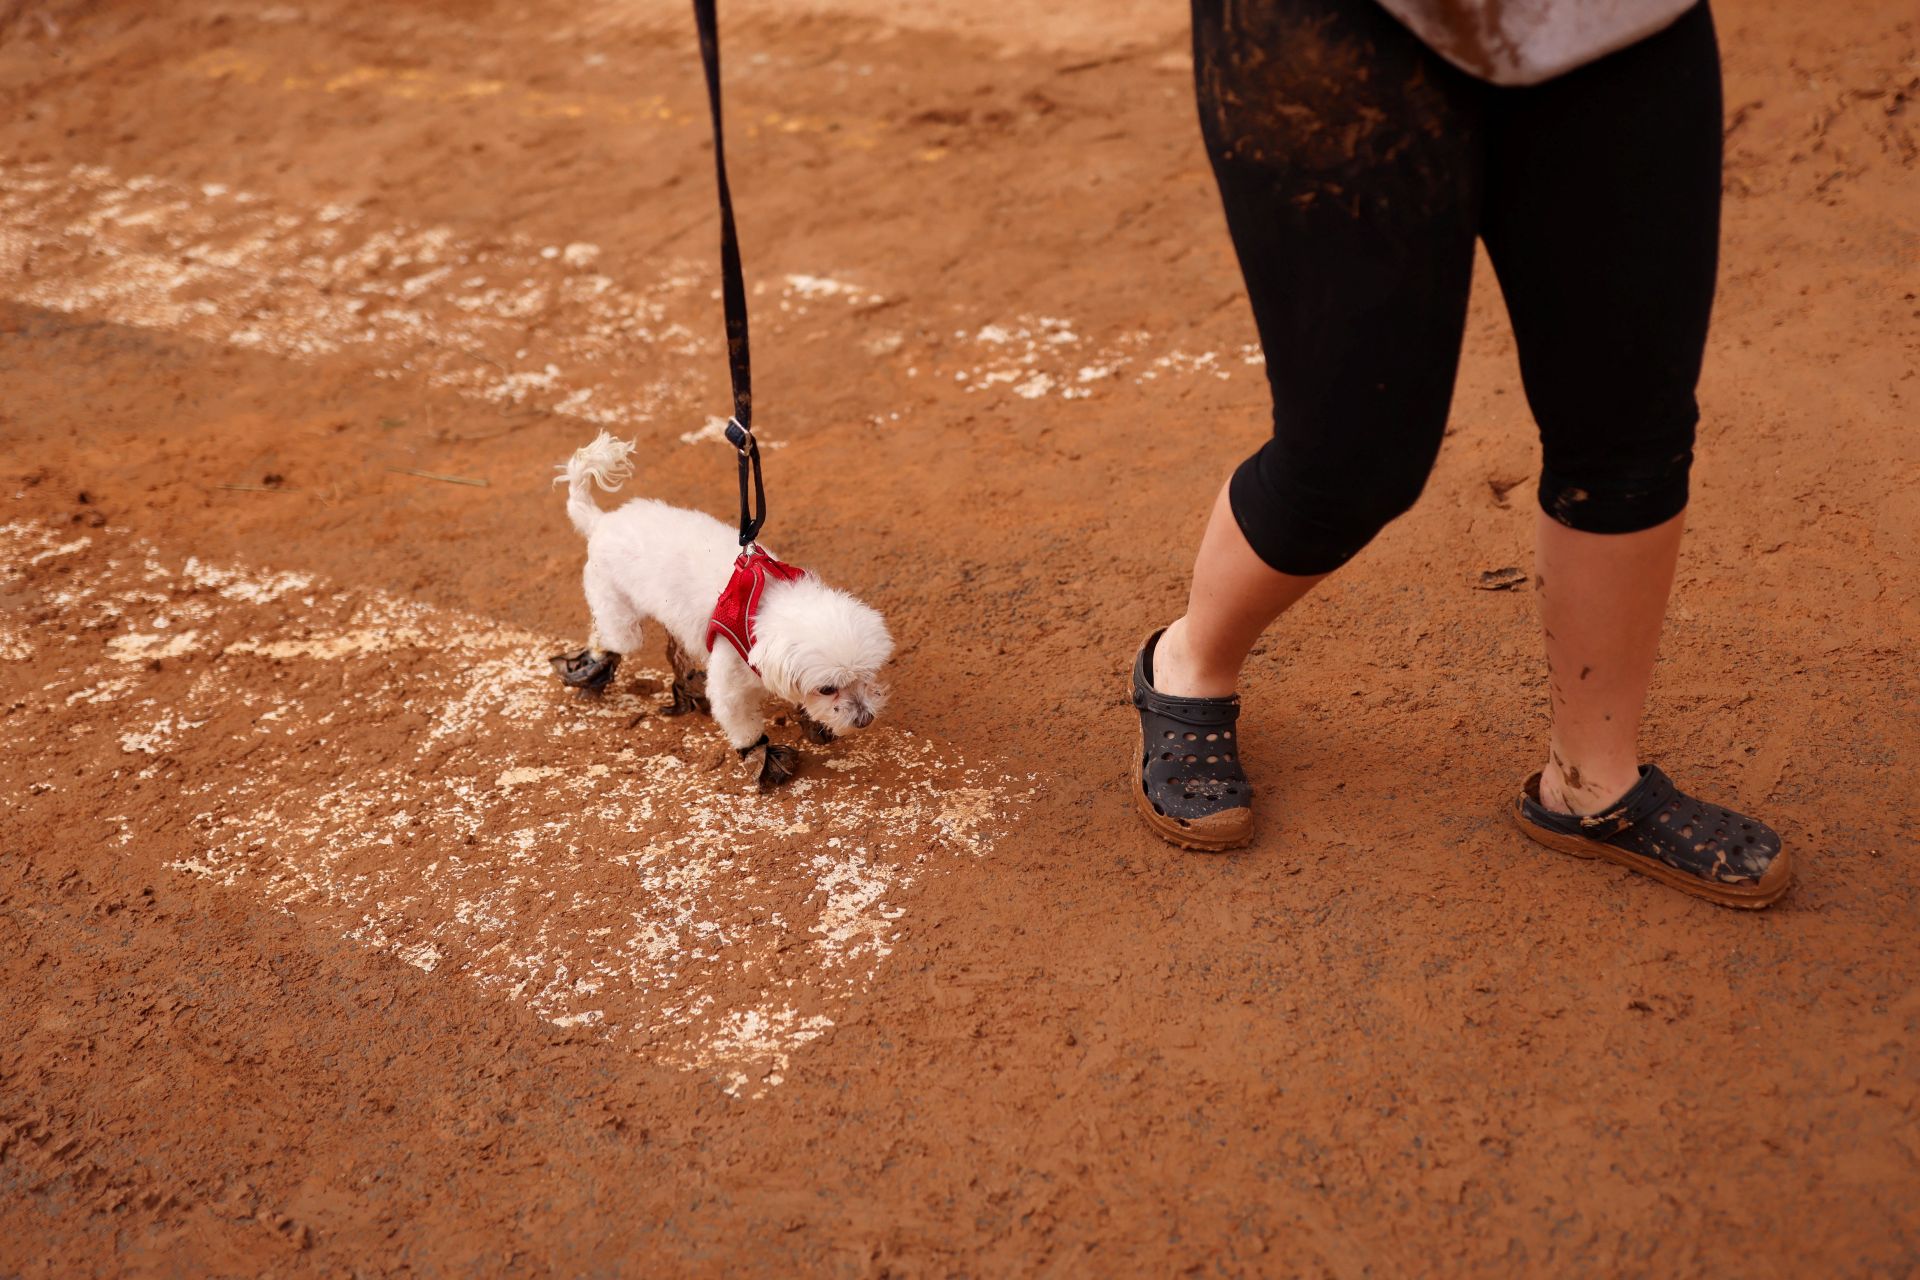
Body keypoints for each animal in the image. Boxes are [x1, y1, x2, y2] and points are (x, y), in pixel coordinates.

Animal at [549, 433, 890, 790]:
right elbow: (743, 724)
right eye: (827, 688)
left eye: (867, 675)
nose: (865, 718)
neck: (765, 608)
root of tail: (601, 521)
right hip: (618, 614)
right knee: (608, 638)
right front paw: (762, 756)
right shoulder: (730, 684)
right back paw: (592, 667)